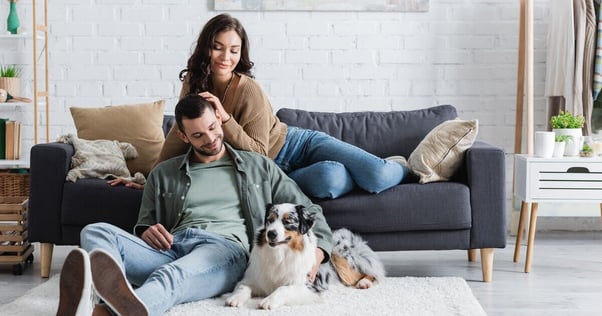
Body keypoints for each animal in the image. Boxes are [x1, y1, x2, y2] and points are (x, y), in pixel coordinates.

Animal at [223, 204, 382, 310]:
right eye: (270, 220)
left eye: (287, 222)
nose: (271, 233)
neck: (280, 254)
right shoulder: (254, 278)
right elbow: (243, 287)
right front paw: (234, 298)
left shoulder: (309, 286)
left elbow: (283, 288)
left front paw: (269, 301)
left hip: (341, 258)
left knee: (373, 272)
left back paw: (364, 282)